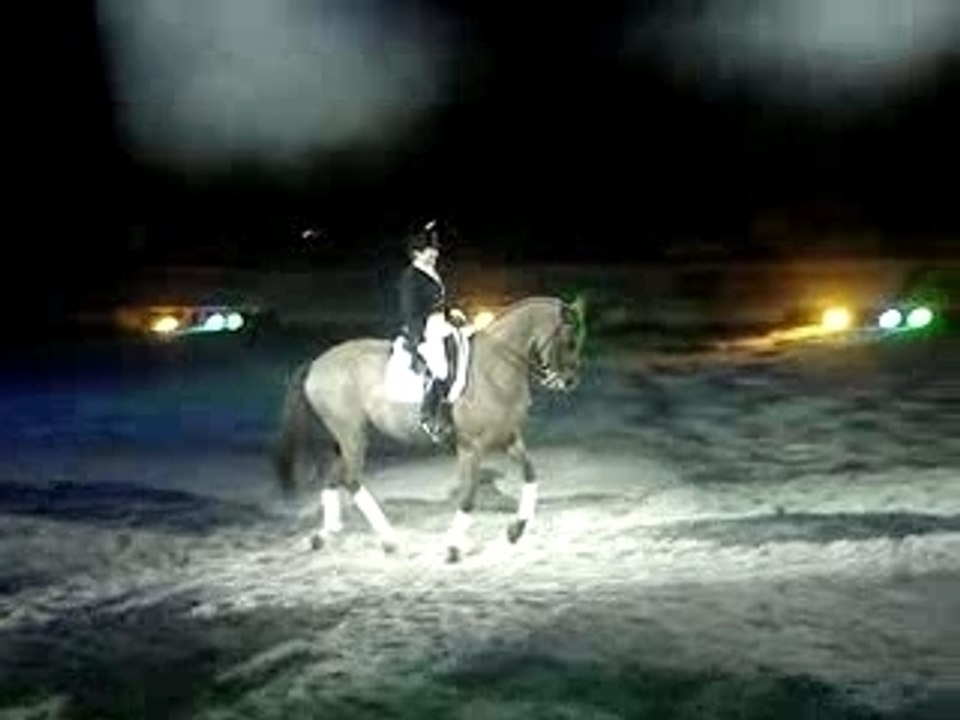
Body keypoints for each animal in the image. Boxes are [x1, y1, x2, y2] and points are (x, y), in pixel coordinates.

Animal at [273, 295, 586, 562]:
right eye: (569, 341)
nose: (569, 381)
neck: (494, 366)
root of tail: (316, 363)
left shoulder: (508, 437)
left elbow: (531, 474)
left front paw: (516, 530)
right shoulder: (471, 446)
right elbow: (468, 496)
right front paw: (453, 548)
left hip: (349, 434)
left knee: (333, 476)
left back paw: (325, 535)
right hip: (351, 433)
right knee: (350, 479)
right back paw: (389, 540)